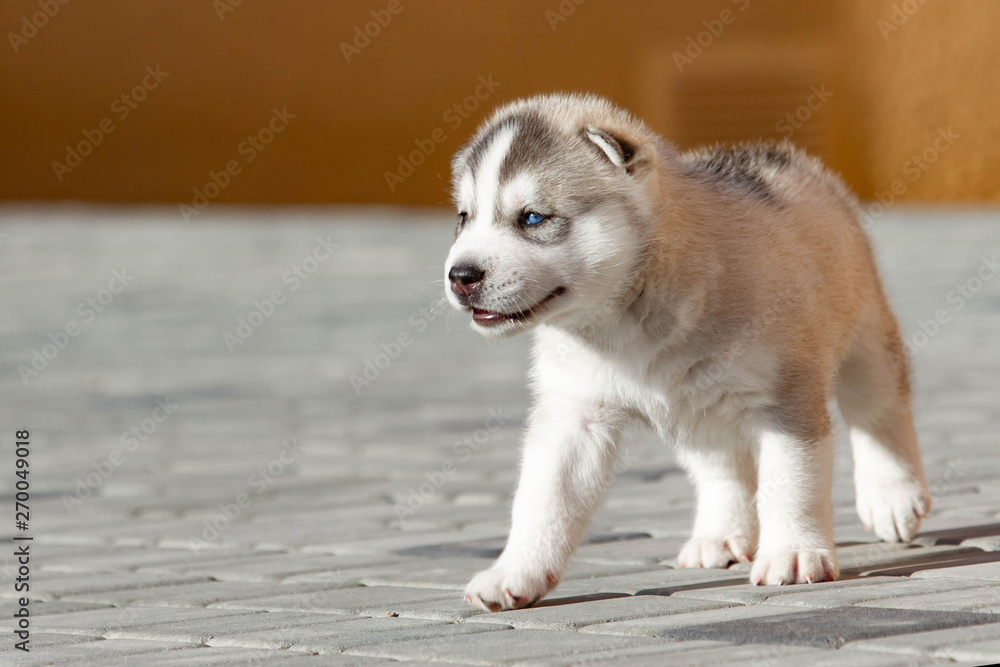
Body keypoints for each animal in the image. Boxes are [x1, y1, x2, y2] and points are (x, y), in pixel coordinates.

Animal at [444, 92, 928, 612]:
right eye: (464, 217)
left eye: (532, 217)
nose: (460, 275)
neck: (630, 312)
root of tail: (780, 154)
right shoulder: (574, 414)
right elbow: (543, 499)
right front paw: (514, 572)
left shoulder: (786, 400)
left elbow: (789, 483)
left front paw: (794, 553)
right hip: (699, 410)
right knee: (721, 467)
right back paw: (719, 534)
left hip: (865, 333)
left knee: (878, 409)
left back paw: (892, 494)